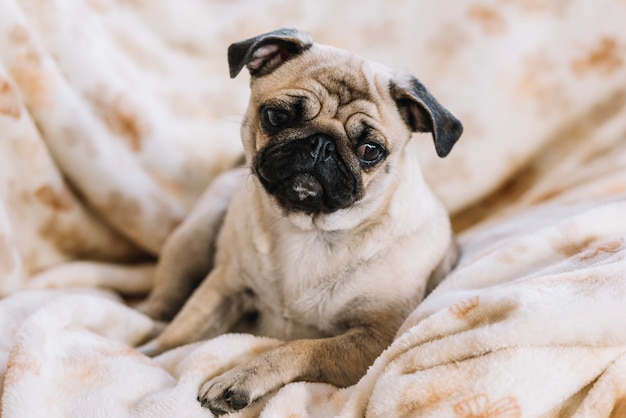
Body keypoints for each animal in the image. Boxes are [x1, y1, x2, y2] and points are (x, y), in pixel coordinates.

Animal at [139, 28, 460, 414]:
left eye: (371, 151)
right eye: (276, 116)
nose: (321, 144)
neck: (309, 228)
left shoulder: (377, 339)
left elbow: (299, 347)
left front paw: (240, 378)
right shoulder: (224, 287)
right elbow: (182, 332)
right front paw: (150, 356)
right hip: (193, 240)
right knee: (163, 305)